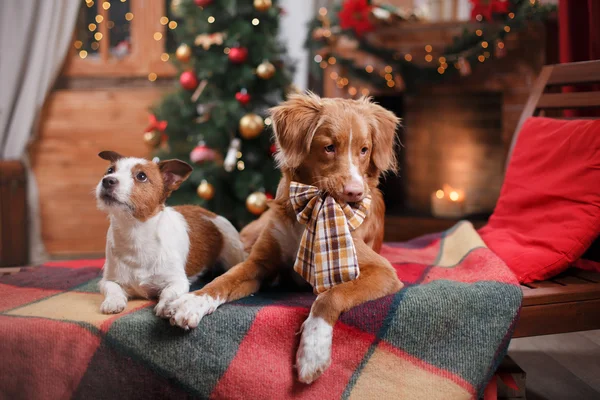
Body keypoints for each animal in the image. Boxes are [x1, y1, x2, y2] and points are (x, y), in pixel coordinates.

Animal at [94, 152, 244, 318]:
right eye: (110, 170)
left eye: (141, 176)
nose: (107, 180)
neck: (135, 233)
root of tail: (208, 212)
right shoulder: (107, 280)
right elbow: (112, 288)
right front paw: (113, 301)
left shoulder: (178, 281)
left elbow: (168, 292)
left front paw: (166, 305)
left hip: (232, 252)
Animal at [163, 94, 404, 384]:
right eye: (329, 147)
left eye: (364, 150)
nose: (355, 193)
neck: (312, 209)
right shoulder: (259, 263)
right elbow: (223, 280)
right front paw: (191, 302)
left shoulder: (382, 271)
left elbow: (331, 295)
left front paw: (313, 349)